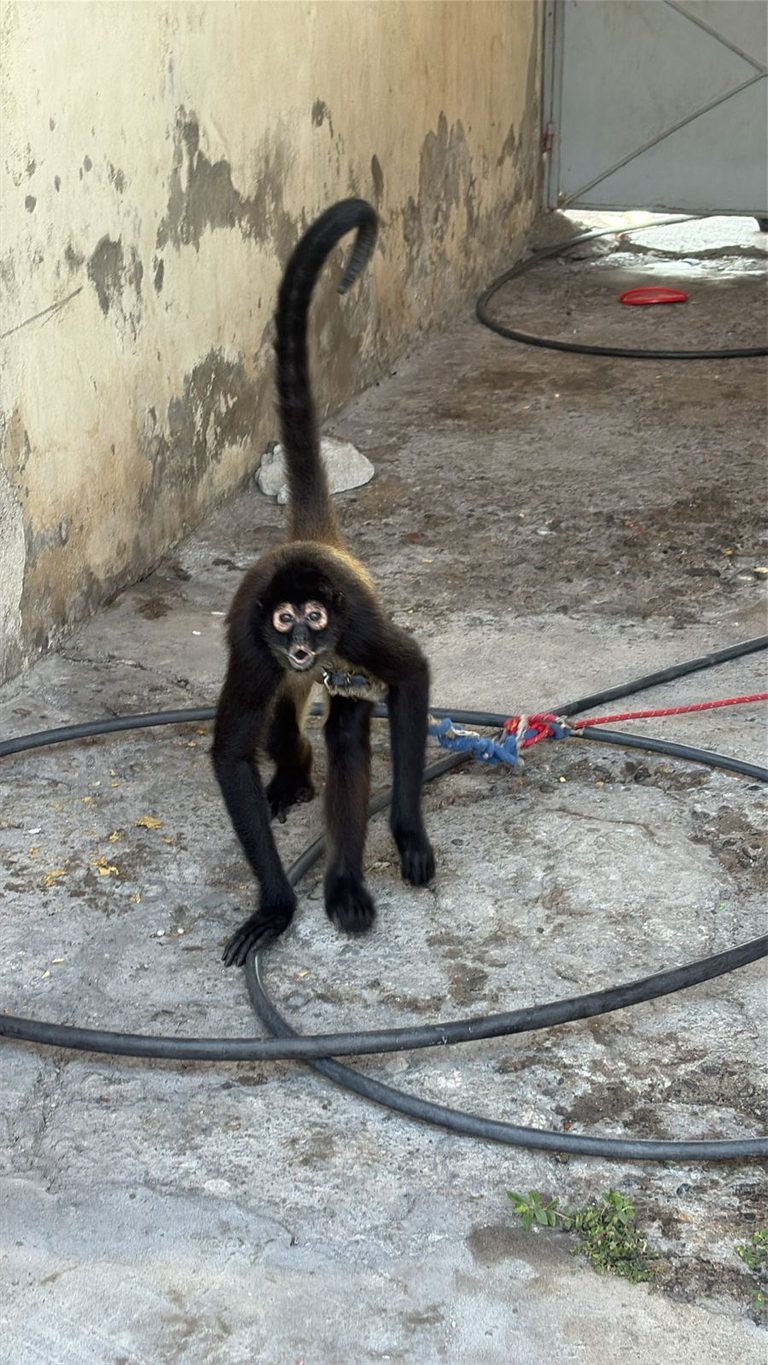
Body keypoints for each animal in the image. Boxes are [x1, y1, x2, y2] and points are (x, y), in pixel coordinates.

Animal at [212, 199, 435, 966]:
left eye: (315, 612)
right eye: (285, 619)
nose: (305, 641)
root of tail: (310, 542)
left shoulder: (357, 625)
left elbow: (411, 674)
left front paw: (407, 834)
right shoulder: (255, 646)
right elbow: (232, 755)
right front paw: (277, 904)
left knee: (345, 728)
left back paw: (343, 885)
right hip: (282, 672)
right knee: (283, 718)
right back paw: (296, 769)